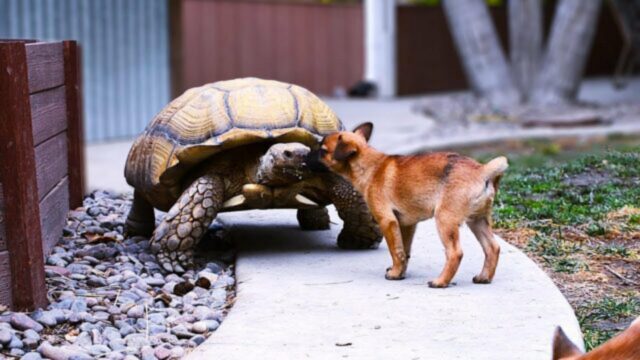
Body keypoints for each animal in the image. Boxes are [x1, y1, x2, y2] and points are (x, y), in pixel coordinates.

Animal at [312, 123, 510, 286]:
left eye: (323, 150)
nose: (309, 153)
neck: (370, 165)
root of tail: (482, 171)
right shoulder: (406, 225)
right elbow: (404, 251)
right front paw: (400, 272)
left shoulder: (387, 221)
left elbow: (395, 251)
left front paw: (395, 273)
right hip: (477, 221)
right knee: (492, 248)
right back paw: (484, 277)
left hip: (445, 220)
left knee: (455, 253)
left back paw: (440, 282)